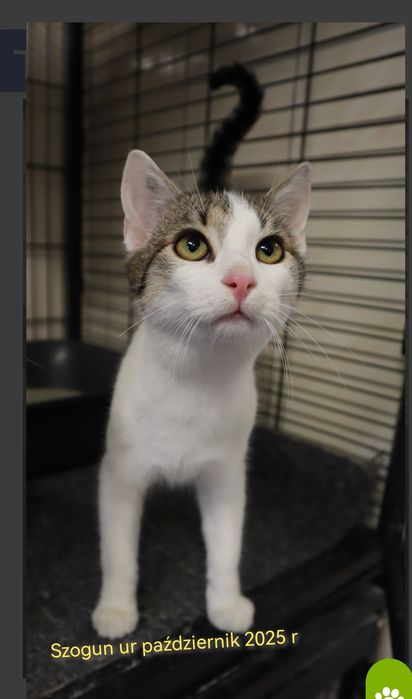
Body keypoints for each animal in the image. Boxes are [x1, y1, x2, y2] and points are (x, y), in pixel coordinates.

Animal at [92, 66, 311, 640]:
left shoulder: (227, 473)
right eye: (191, 245)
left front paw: (226, 602)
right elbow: (118, 549)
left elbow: (228, 543)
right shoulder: (120, 471)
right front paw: (117, 608)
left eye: (268, 251)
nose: (241, 279)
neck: (195, 377)